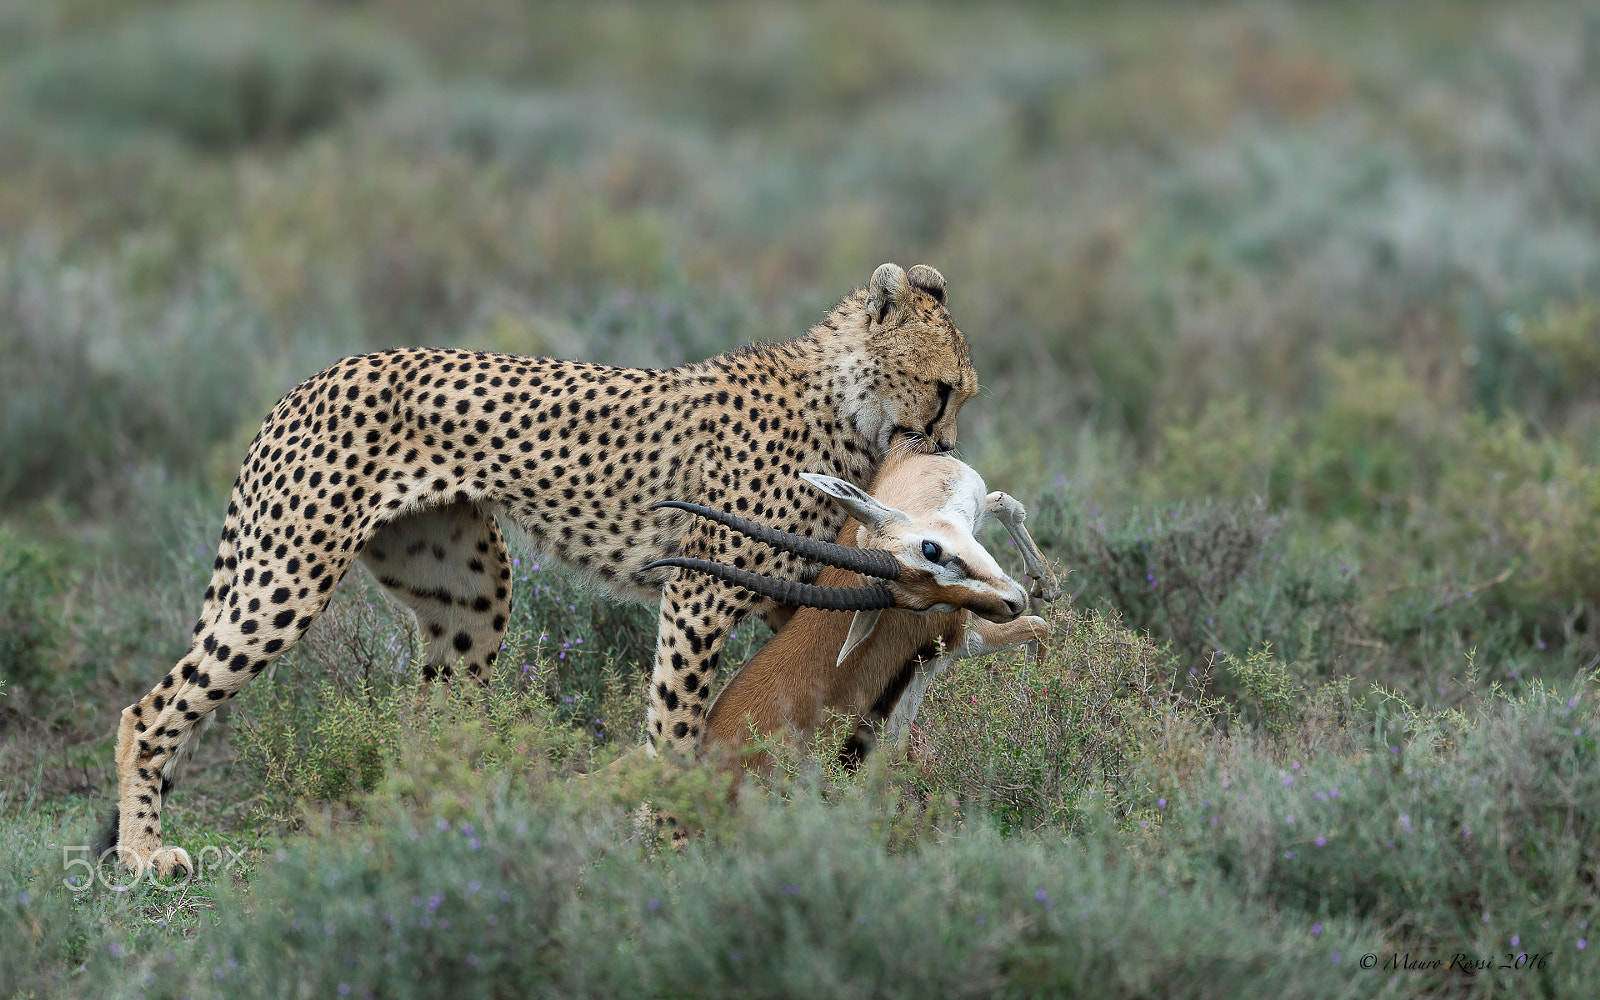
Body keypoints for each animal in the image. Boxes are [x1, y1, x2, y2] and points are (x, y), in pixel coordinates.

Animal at [103, 260, 972, 870]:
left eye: (964, 394)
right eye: (942, 390)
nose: (948, 449)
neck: (843, 406)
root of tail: (313, 378)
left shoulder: (789, 592)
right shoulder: (698, 594)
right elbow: (676, 724)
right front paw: (668, 837)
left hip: (471, 594)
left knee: (432, 721)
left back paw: (453, 830)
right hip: (289, 577)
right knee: (149, 710)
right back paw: (144, 853)